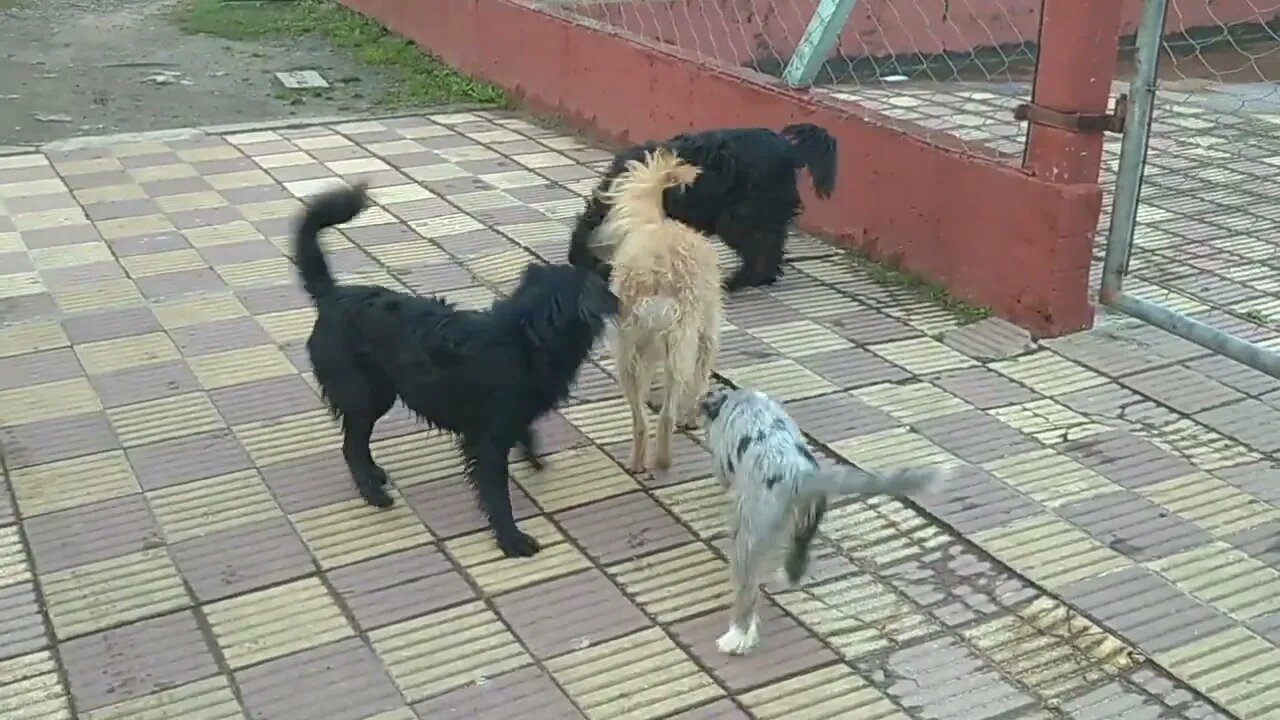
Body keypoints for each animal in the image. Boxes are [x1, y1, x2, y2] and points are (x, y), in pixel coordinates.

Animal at [599, 147, 721, 471]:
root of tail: (654, 276)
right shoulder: (706, 333)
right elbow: (700, 379)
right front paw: (692, 417)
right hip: (681, 343)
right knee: (667, 413)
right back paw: (664, 460)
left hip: (627, 353)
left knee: (641, 419)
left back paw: (638, 461)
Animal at [696, 386, 957, 655]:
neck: (743, 401)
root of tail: (800, 476)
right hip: (807, 522)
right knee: (797, 558)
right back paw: (787, 578)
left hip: (749, 539)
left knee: (747, 593)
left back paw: (735, 638)